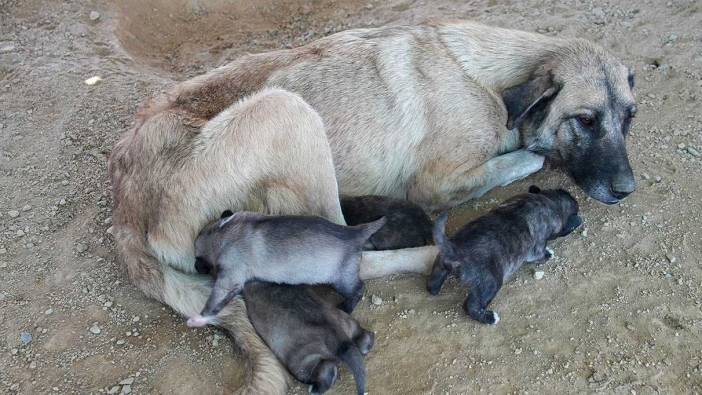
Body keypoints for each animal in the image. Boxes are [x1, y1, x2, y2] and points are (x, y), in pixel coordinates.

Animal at [187, 210, 384, 328]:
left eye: (197, 258)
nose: (196, 267)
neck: (225, 232)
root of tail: (355, 232)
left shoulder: (228, 279)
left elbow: (213, 303)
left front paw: (198, 319)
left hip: (342, 280)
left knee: (359, 289)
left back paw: (346, 307)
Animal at [243, 282, 374, 395]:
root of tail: (338, 336)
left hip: (301, 362)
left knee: (325, 369)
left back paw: (315, 389)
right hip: (347, 321)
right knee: (364, 337)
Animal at [428, 187, 584, 326]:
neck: (548, 200)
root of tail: (454, 250)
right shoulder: (536, 249)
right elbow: (540, 254)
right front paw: (549, 253)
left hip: (440, 262)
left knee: (434, 278)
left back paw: (434, 289)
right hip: (491, 282)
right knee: (471, 306)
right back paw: (489, 318)